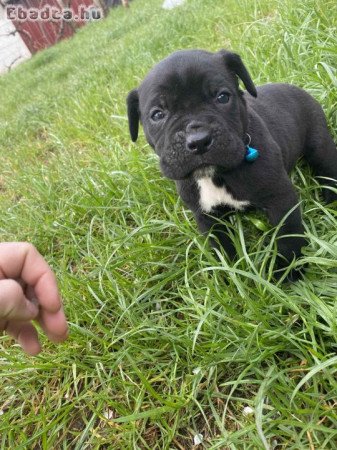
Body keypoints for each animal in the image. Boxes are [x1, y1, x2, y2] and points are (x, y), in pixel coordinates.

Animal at [125, 50, 336, 282]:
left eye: (222, 97)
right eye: (157, 114)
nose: (198, 140)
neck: (215, 175)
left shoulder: (280, 198)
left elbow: (288, 234)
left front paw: (288, 271)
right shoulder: (207, 218)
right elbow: (221, 246)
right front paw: (229, 276)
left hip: (318, 143)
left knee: (327, 166)